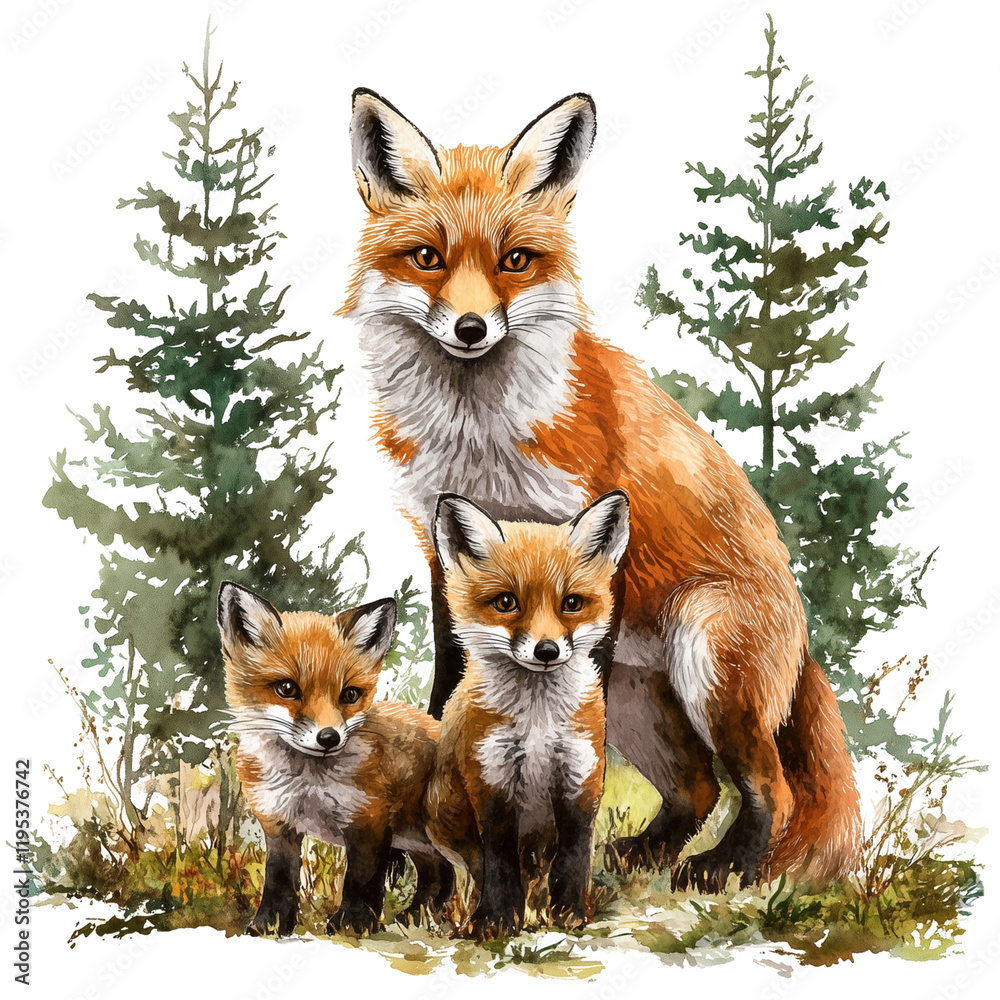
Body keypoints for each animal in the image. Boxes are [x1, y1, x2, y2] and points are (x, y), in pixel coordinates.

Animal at [218, 582, 454, 936]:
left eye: (350, 694)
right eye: (287, 688)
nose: (329, 738)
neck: (306, 783)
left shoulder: (368, 820)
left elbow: (360, 880)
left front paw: (353, 924)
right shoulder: (279, 824)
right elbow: (278, 881)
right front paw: (269, 925)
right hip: (419, 840)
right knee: (439, 874)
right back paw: (418, 915)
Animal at [341, 89, 862, 892]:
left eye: (515, 261)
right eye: (428, 258)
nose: (470, 327)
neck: (478, 438)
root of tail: (802, 636)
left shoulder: (591, 543)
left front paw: (544, 854)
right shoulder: (441, 550)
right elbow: (451, 683)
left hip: (707, 660)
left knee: (767, 786)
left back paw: (725, 870)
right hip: (647, 702)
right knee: (697, 789)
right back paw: (646, 857)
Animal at [424, 491, 630, 938]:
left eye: (571, 604)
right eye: (506, 602)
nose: (547, 650)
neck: (538, 724)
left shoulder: (580, 775)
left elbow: (574, 857)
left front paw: (570, 914)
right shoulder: (492, 778)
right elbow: (498, 861)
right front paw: (497, 920)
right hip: (445, 812)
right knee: (474, 871)